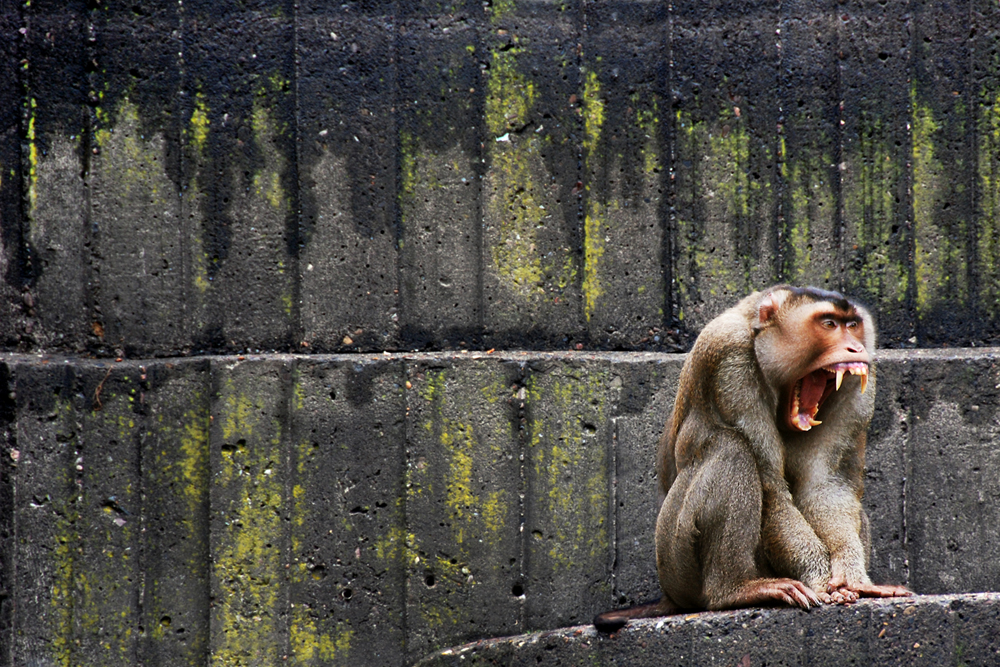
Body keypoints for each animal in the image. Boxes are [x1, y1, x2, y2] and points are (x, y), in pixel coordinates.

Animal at [592, 284, 916, 636]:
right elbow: (771, 487)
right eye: (830, 324)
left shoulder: (861, 387)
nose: (856, 349)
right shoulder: (728, 359)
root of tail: (670, 595)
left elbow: (826, 485)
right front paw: (819, 581)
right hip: (675, 559)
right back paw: (735, 590)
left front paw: (853, 578)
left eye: (853, 325)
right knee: (731, 449)